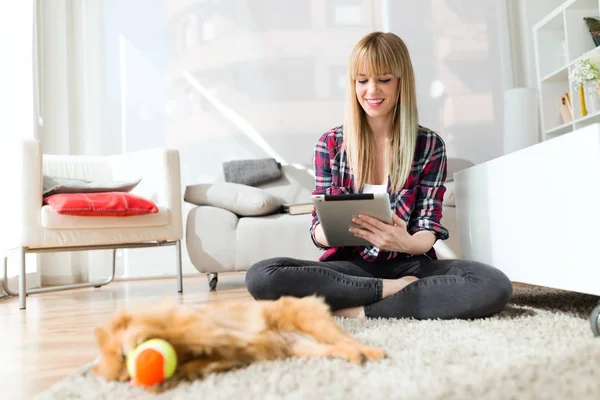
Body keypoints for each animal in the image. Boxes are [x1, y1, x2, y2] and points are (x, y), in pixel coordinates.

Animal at [91, 296, 386, 392]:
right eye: (123, 375)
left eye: (123, 356)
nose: (134, 372)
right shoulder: (219, 358)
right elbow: (199, 363)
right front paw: (171, 378)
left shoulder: (199, 324)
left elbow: (187, 330)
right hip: (307, 349)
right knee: (343, 347)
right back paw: (356, 357)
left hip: (314, 324)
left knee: (350, 340)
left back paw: (375, 352)